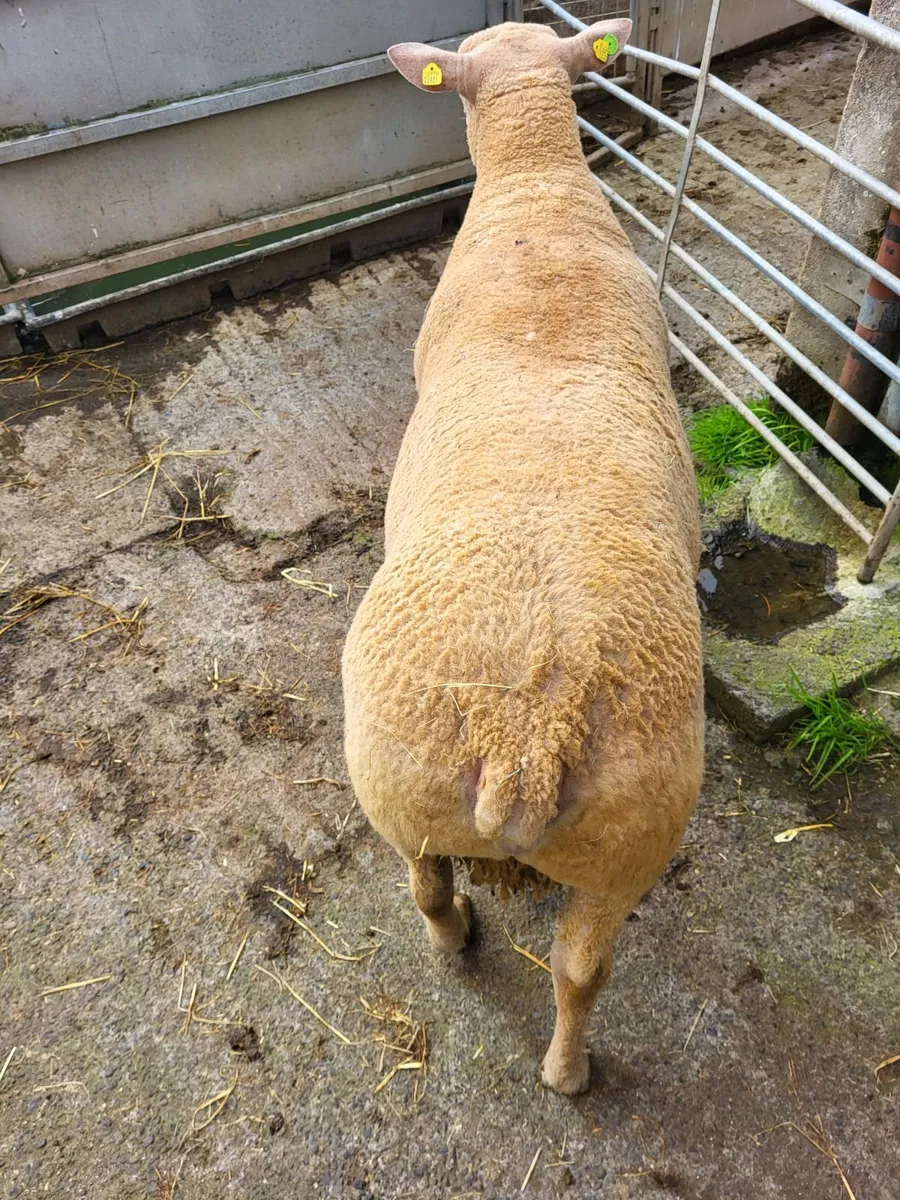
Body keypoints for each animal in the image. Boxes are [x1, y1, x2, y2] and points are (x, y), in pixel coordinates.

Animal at [341, 18, 704, 1096]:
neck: (539, 190)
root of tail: (529, 734)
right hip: (620, 842)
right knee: (581, 967)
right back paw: (567, 1074)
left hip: (414, 794)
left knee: (427, 893)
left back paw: (458, 945)